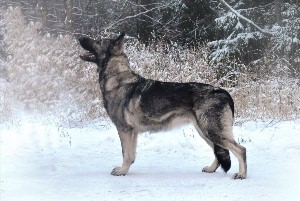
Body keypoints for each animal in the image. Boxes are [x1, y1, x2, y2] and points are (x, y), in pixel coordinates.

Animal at [78, 32, 247, 179]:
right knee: (219, 152)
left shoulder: (125, 130)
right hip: (205, 132)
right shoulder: (132, 132)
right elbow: (131, 155)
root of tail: (224, 92)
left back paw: (242, 175)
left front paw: (122, 171)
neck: (117, 78)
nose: (79, 37)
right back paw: (211, 169)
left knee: (241, 150)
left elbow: (126, 154)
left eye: (98, 41)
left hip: (212, 131)